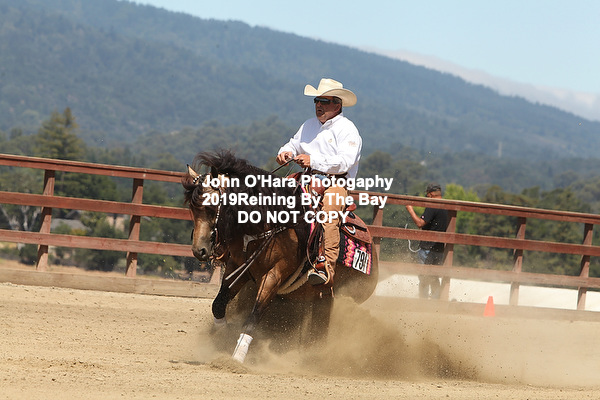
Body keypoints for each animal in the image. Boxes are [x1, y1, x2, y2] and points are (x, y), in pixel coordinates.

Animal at [182, 150, 378, 363]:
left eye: (212, 208)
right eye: (192, 208)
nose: (199, 250)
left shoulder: (274, 275)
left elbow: (254, 316)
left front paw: (237, 357)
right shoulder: (239, 269)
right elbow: (218, 305)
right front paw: (222, 339)